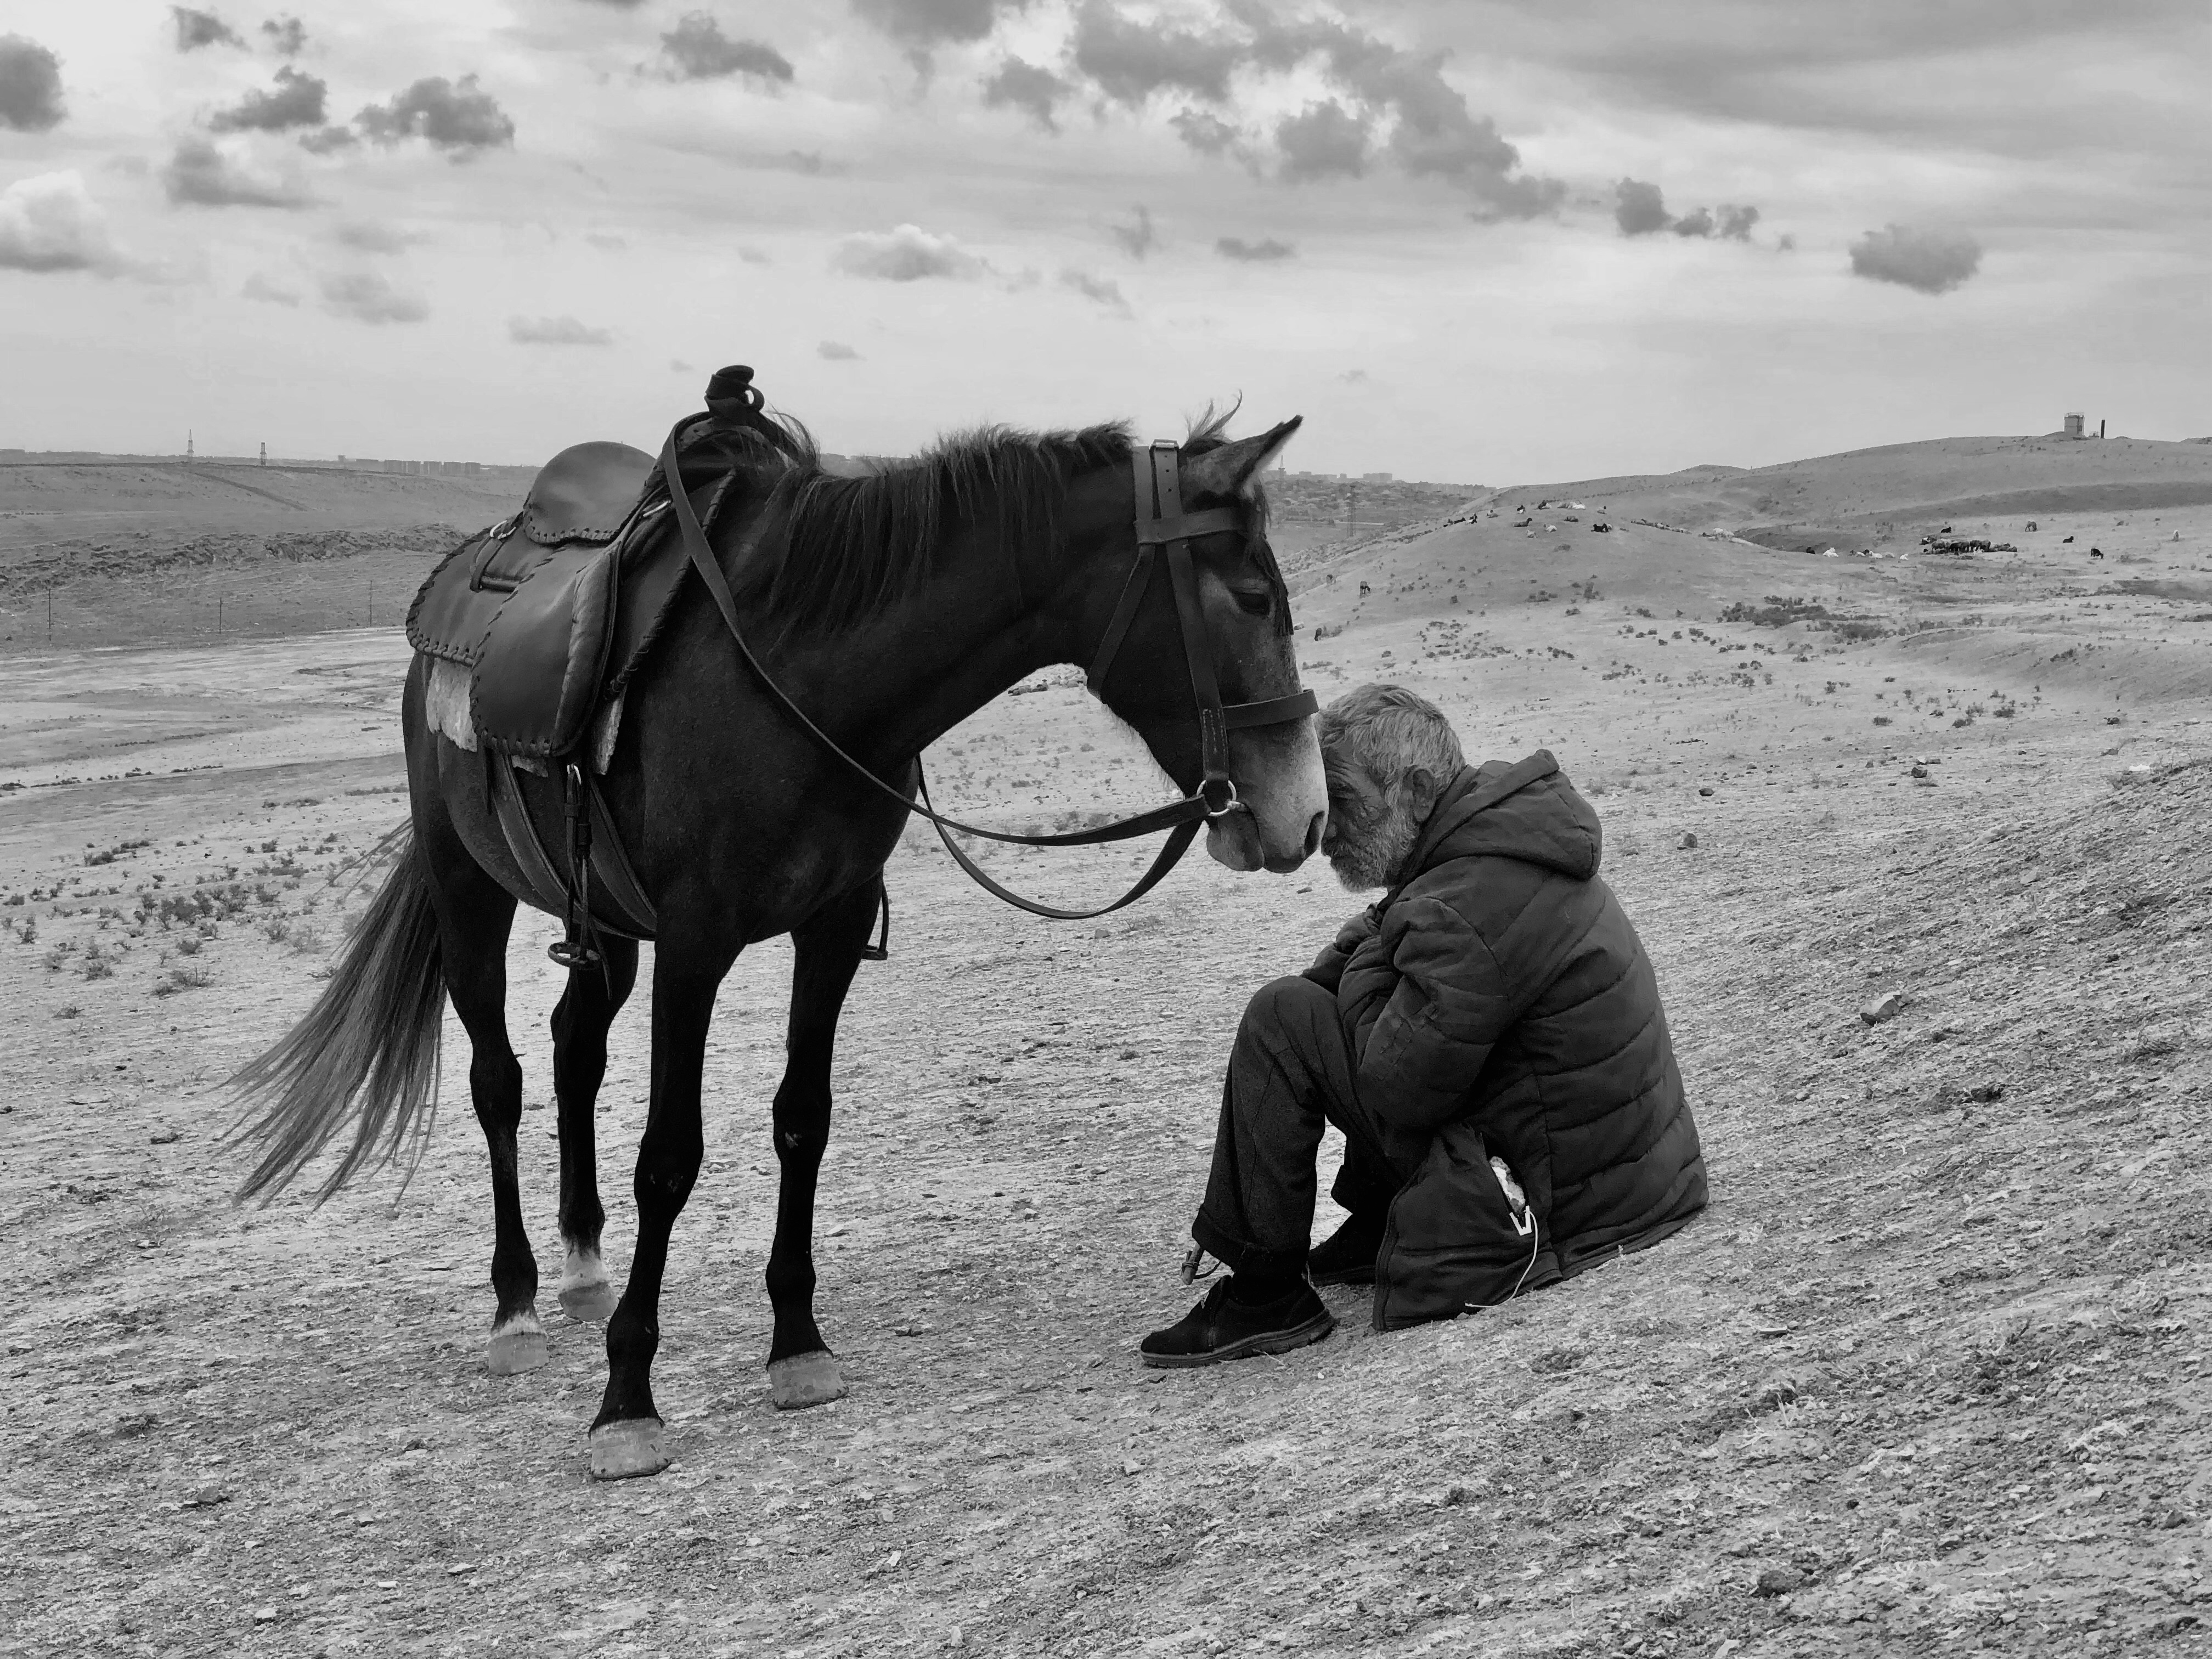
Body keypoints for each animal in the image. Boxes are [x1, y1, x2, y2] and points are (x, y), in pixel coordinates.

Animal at [233, 400, 1318, 1477]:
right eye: (1256, 596)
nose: (1301, 814)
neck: (800, 678)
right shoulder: (697, 941)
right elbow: (669, 1155)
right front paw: (627, 1400)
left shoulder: (830, 925)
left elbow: (803, 1118)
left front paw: (797, 1344)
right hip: (470, 891)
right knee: (497, 1081)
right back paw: (519, 1307)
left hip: (603, 923)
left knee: (575, 1048)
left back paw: (583, 1265)